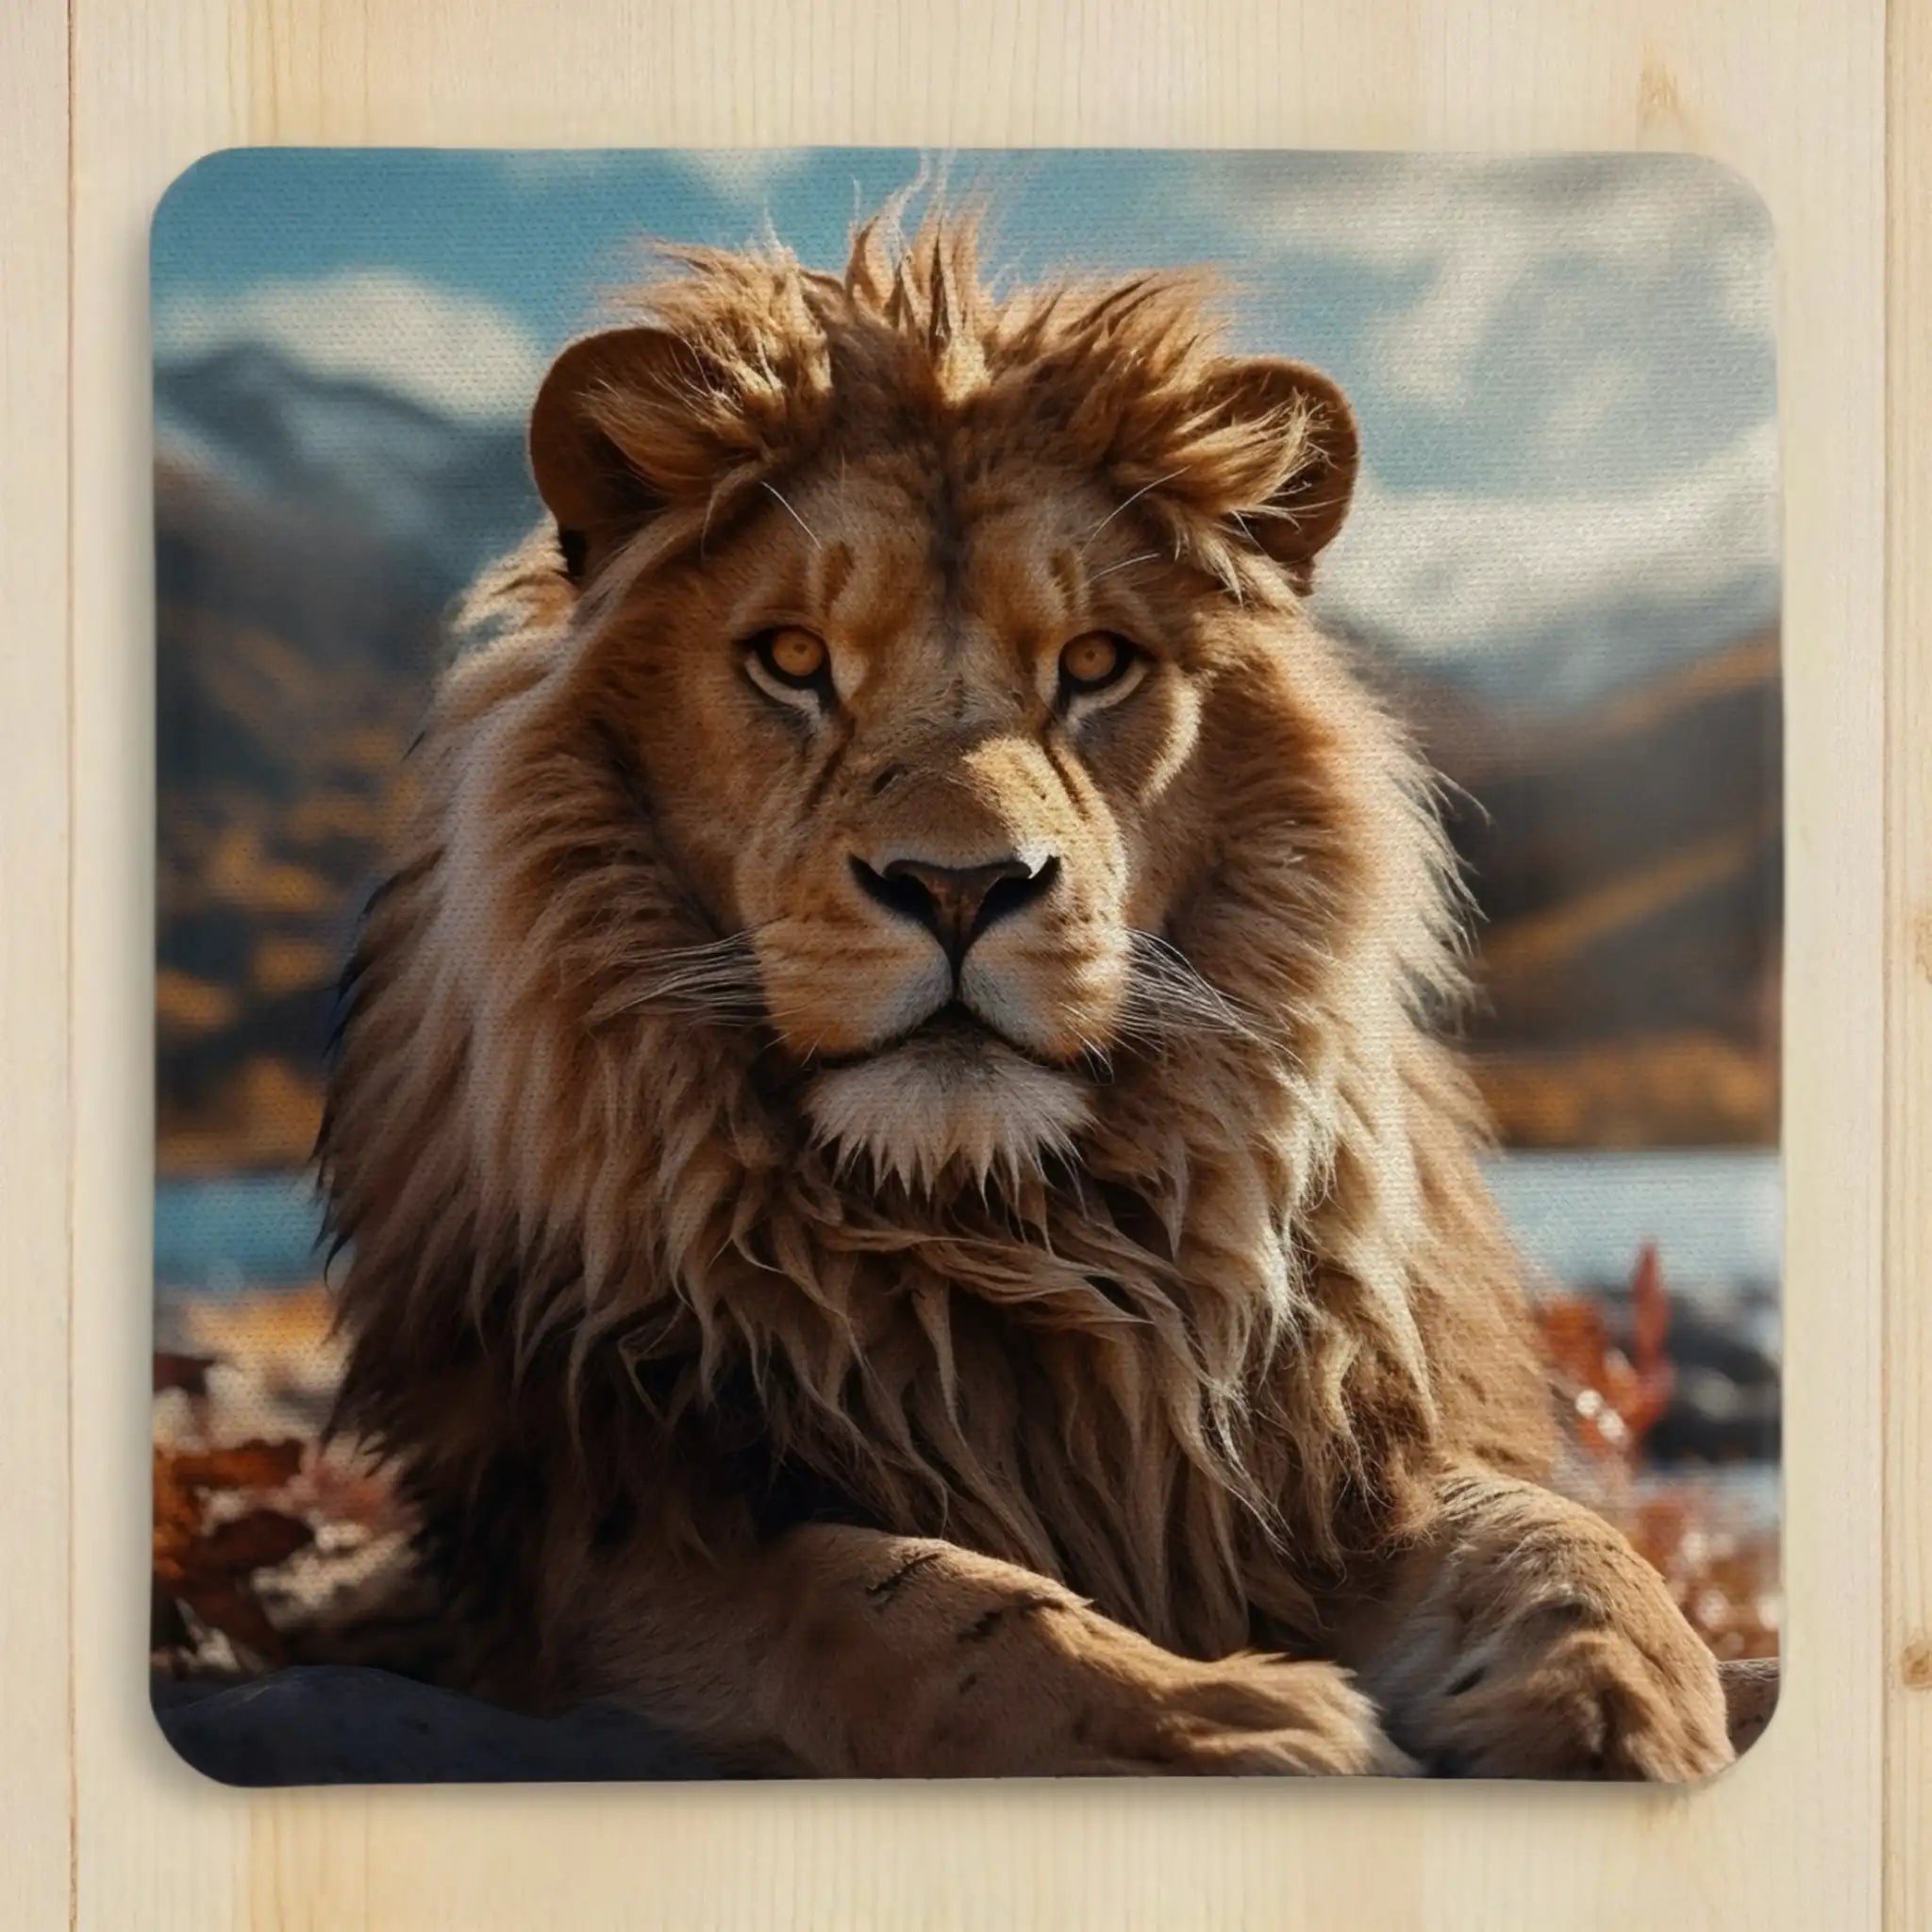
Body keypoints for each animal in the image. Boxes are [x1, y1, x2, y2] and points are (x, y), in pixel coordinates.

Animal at [318, 208, 1734, 1779]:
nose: (959, 887)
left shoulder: (1327, 1468)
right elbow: (907, 1605)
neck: (993, 1237)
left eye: (1097, 664)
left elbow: (1571, 1549)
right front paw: (1226, 1723)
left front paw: (1622, 1713)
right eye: (792, 660)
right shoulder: (589, 1543)